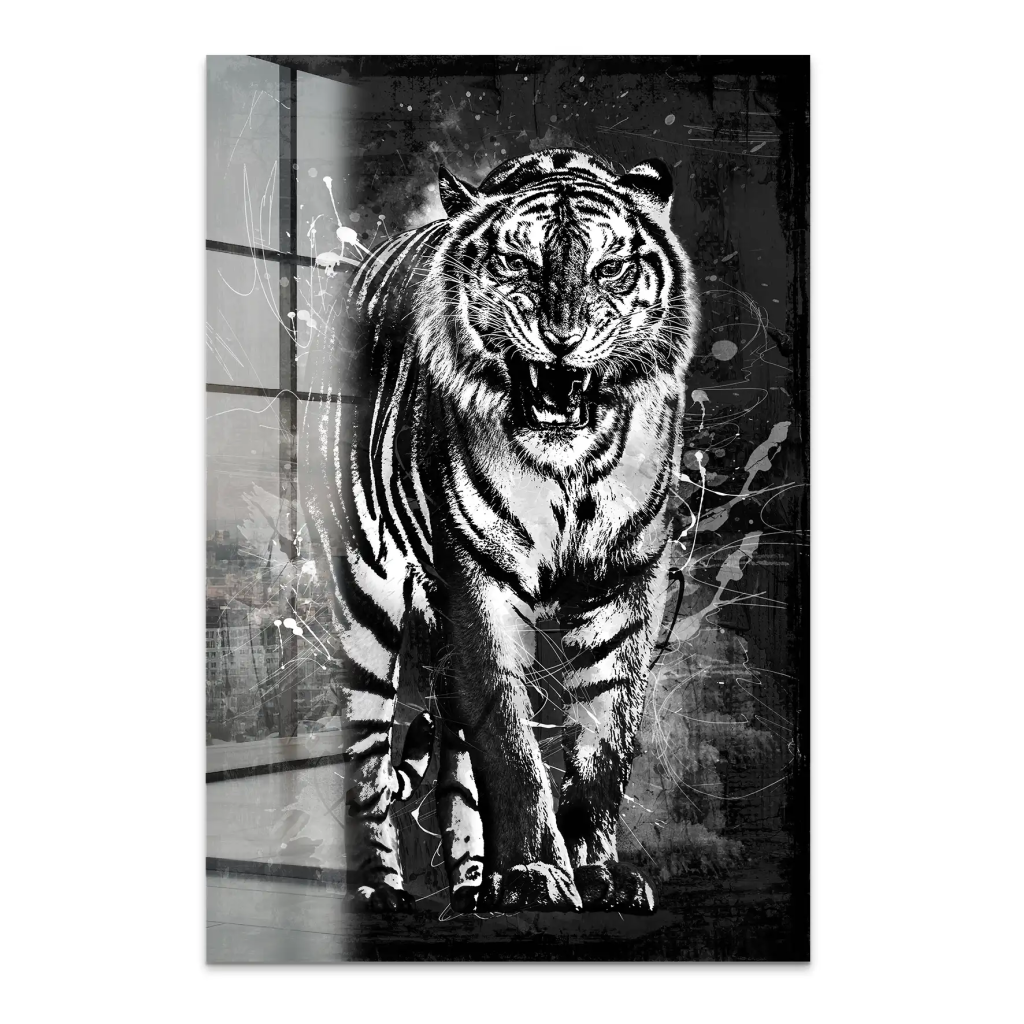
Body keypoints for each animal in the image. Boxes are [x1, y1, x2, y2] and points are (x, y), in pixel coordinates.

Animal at [313, 148, 700, 916]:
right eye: (518, 263)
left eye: (610, 268)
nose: (563, 340)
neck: (569, 466)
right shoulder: (479, 582)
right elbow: (512, 745)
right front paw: (533, 875)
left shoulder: (624, 586)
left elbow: (604, 739)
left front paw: (598, 875)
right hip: (365, 607)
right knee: (367, 764)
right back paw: (382, 890)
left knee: (455, 770)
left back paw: (471, 887)